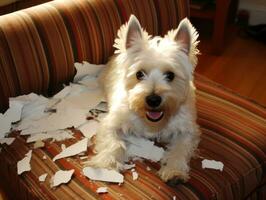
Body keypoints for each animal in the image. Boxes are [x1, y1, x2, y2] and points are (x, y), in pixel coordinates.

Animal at [88, 15, 201, 181]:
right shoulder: (111, 122)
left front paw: (174, 170)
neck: (152, 124)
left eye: (170, 75)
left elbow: (180, 149)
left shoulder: (187, 130)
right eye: (139, 74)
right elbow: (114, 143)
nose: (153, 99)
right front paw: (107, 163)